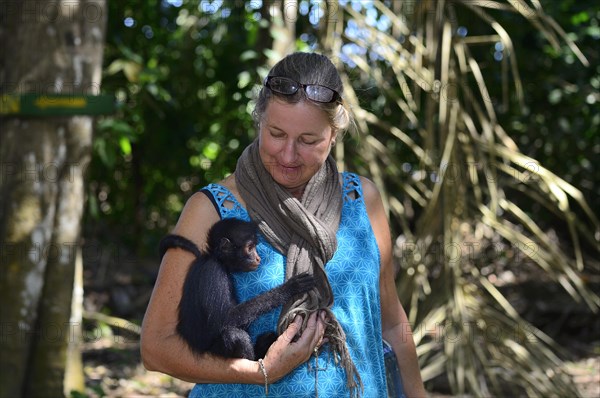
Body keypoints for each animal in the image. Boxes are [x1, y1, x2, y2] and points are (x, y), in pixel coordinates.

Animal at [159, 218, 318, 360]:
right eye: (250, 248)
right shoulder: (214, 271)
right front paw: (290, 287)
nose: (258, 258)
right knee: (234, 335)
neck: (215, 258)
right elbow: (227, 318)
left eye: (255, 247)